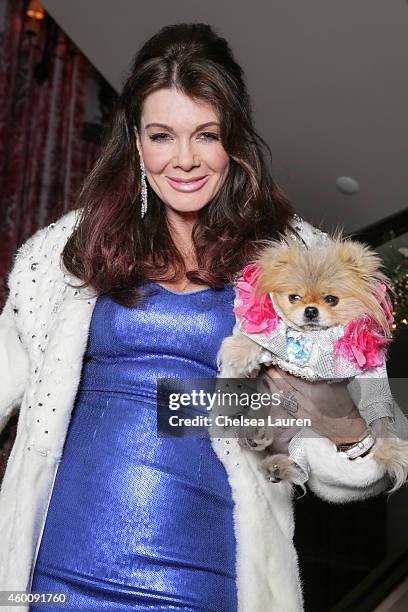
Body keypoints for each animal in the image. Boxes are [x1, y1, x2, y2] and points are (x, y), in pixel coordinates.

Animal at [218, 233, 408, 492]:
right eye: (294, 298)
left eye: (332, 299)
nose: (310, 310)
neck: (314, 339)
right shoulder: (278, 345)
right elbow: (265, 343)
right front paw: (239, 351)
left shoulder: (370, 377)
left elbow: (379, 418)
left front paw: (391, 451)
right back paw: (255, 434)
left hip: (308, 439)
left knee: (298, 464)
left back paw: (277, 465)